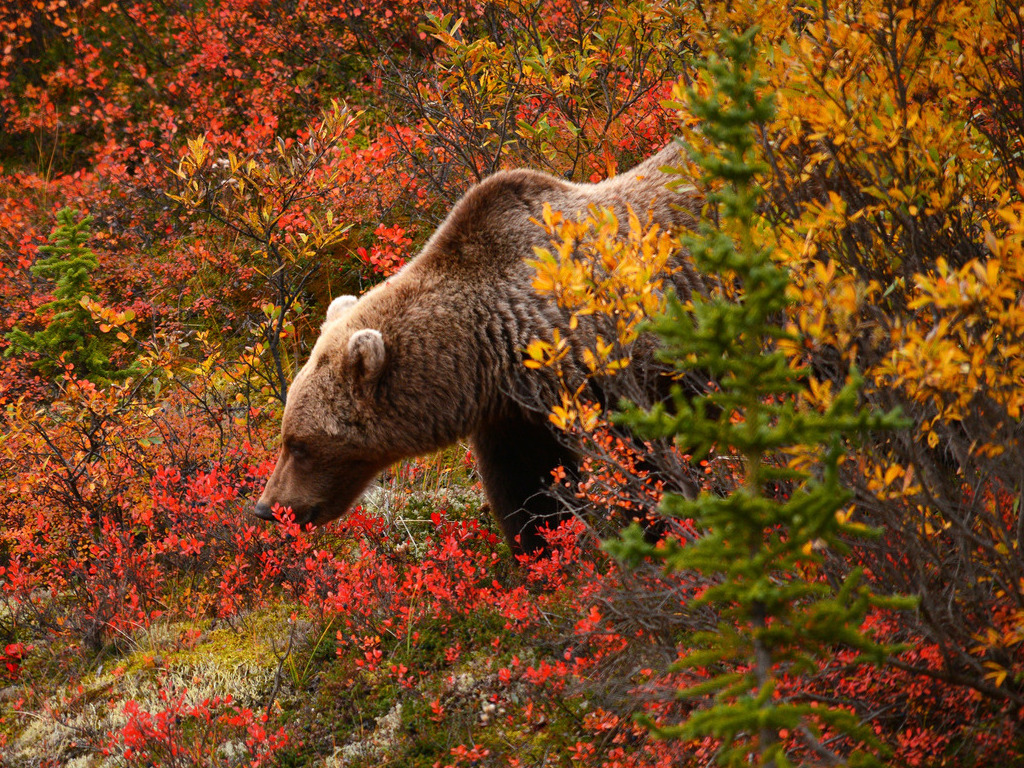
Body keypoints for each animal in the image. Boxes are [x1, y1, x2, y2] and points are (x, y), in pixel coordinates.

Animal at [254, 141, 703, 554]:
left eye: (299, 444)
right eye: (286, 436)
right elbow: (526, 490)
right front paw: (542, 555)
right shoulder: (516, 417)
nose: (268, 508)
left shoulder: (623, 371)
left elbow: (650, 466)